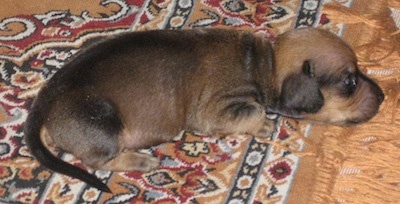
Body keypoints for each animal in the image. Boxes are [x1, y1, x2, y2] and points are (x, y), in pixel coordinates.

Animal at [24, 27, 384, 193]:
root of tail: (44, 100)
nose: (383, 96)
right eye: (350, 81)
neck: (263, 65)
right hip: (102, 121)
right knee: (96, 161)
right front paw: (264, 125)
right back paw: (139, 160)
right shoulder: (216, 109)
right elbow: (254, 112)